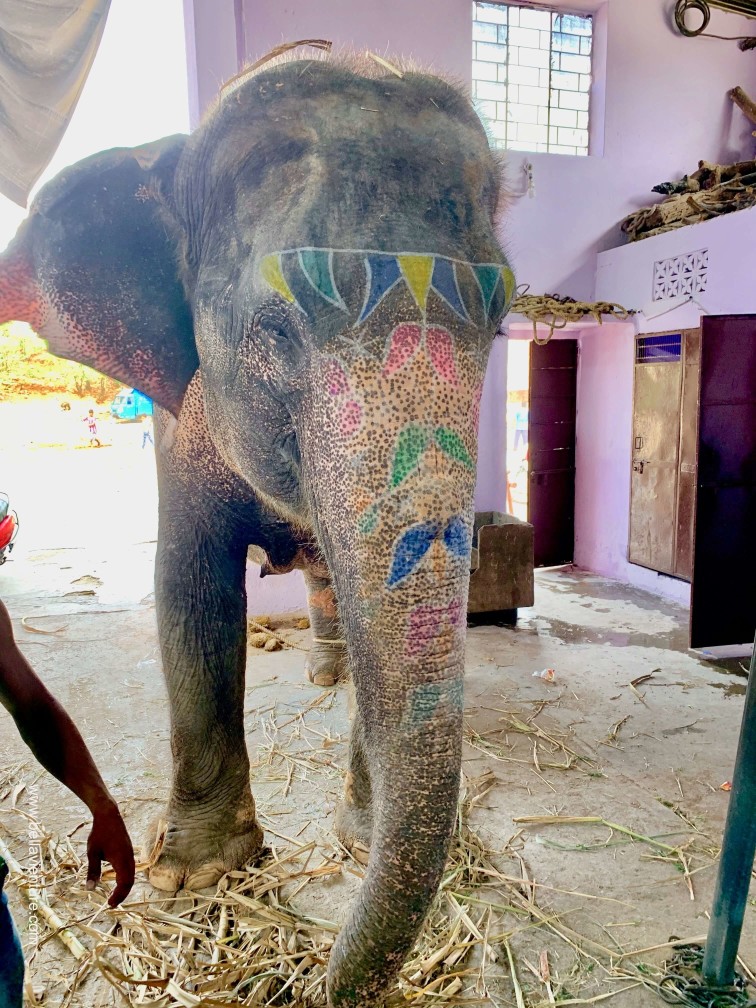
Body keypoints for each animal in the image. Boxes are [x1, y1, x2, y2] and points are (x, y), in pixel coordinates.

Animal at [0, 53, 514, 1007]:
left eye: (501, 328)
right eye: (275, 330)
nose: (309, 982)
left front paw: (357, 838)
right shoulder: (180, 418)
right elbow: (189, 587)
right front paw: (197, 877)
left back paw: (329, 673)